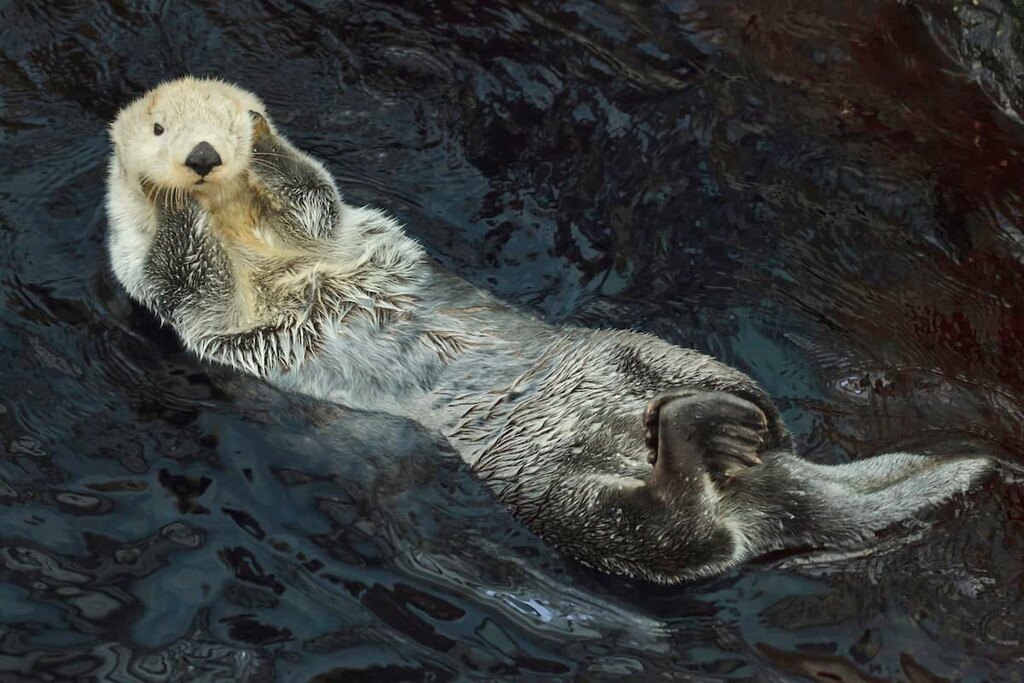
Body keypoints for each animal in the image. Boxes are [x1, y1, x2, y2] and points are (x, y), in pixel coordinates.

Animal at [105, 77, 993, 584]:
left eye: (221, 125)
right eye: (159, 131)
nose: (203, 153)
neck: (241, 230)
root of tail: (769, 493)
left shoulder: (323, 222)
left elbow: (312, 194)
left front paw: (259, 138)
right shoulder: (162, 286)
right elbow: (183, 276)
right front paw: (171, 194)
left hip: (625, 355)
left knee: (719, 434)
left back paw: (743, 410)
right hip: (550, 496)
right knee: (681, 541)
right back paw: (710, 433)